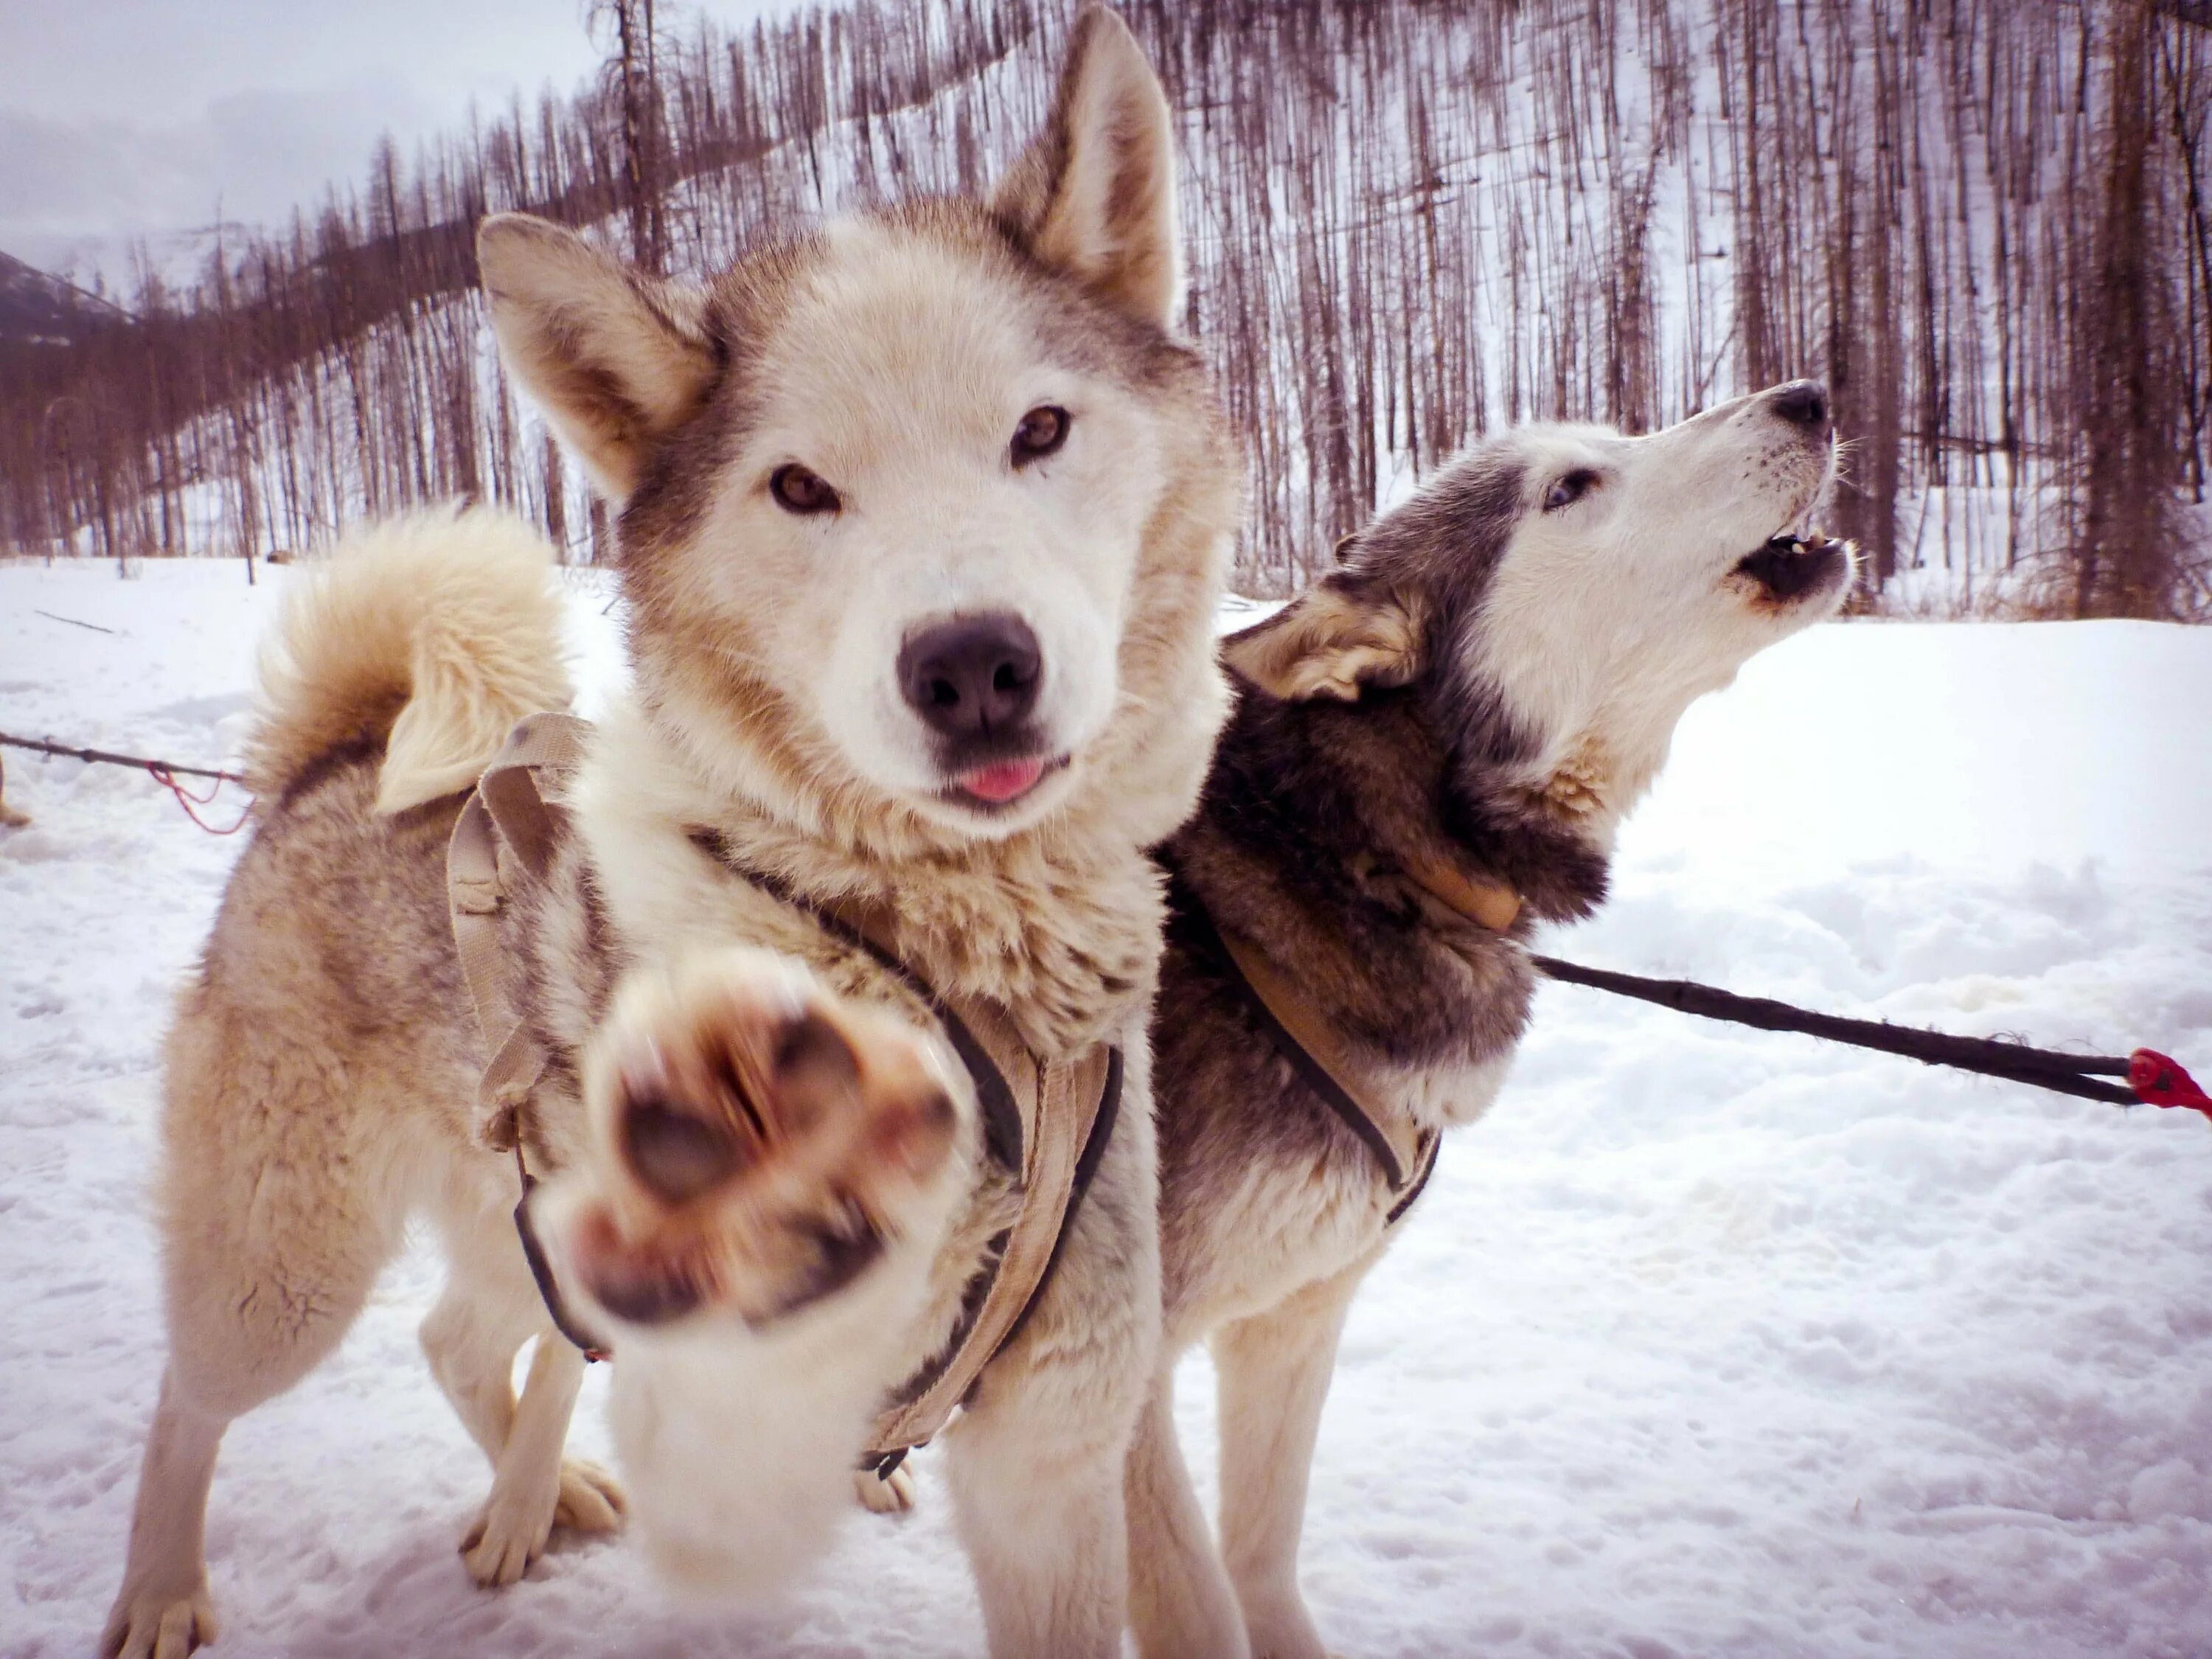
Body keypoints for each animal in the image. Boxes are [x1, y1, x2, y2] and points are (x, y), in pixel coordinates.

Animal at [104, 16, 1239, 1659]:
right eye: (801, 487)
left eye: (1040, 429)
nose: (972, 666)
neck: (929, 966)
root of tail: (337, 756)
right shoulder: (741, 1403)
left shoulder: (1072, 1440)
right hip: (287, 1274)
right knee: (192, 1399)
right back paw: (165, 1587)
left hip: (512, 1217)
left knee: (467, 1337)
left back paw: (540, 1498)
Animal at [1115, 383, 1858, 1655]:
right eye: (1571, 487)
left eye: (1610, 439)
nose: (1807, 396)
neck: (1358, 859)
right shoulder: (1105, 1380)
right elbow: (1197, 1603)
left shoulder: (1296, 1317)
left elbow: (1260, 1558)